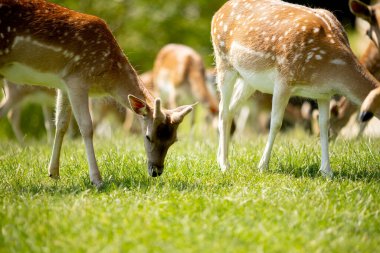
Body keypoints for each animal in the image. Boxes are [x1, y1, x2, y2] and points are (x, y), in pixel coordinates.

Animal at [0, 0, 194, 186]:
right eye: (147, 136)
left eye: (174, 140)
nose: (156, 171)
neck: (107, 78)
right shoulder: (77, 79)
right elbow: (87, 127)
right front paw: (97, 179)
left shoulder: (63, 83)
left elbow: (61, 123)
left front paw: (53, 173)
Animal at [212, 0, 378, 178]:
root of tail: (218, 12)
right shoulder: (284, 79)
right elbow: (276, 122)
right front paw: (262, 166)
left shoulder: (324, 93)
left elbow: (324, 125)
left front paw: (327, 172)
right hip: (223, 62)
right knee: (223, 110)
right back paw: (225, 165)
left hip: (248, 81)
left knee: (229, 109)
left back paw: (220, 159)